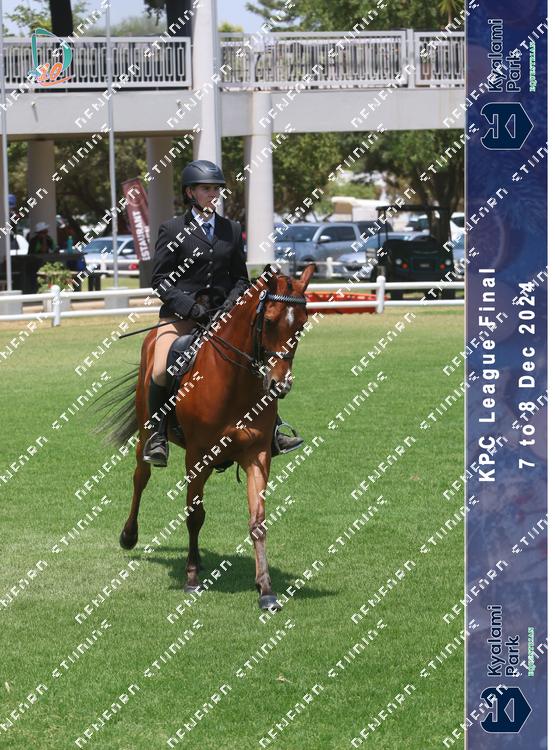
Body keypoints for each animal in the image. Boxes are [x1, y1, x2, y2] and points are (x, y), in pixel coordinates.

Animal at [98, 263, 315, 610]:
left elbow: (258, 521)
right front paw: (190, 580)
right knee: (140, 478)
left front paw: (266, 589)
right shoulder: (197, 456)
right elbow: (194, 515)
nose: (280, 385)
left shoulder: (257, 454)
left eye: (302, 324)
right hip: (147, 432)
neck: (234, 382)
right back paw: (130, 535)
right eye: (268, 321)